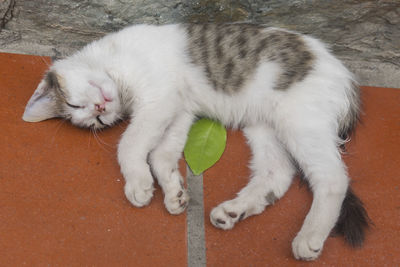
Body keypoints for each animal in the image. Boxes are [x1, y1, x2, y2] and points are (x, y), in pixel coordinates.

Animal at [23, 23, 370, 262]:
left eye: (77, 105)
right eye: (96, 122)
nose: (100, 109)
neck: (115, 64)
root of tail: (346, 79)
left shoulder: (160, 100)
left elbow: (130, 143)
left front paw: (138, 184)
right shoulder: (179, 110)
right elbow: (160, 154)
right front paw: (173, 191)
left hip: (299, 120)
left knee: (333, 178)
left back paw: (309, 236)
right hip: (263, 126)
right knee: (277, 173)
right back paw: (233, 211)